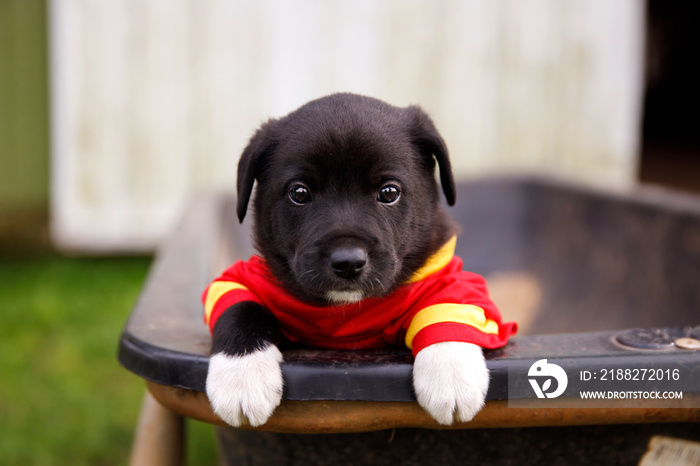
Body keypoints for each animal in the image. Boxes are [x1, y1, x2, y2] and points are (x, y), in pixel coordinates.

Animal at [202, 93, 516, 426]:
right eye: (299, 193)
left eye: (389, 192)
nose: (348, 261)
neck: (344, 311)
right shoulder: (238, 279)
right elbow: (239, 307)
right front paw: (242, 376)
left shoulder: (453, 279)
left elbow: (448, 308)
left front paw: (451, 375)